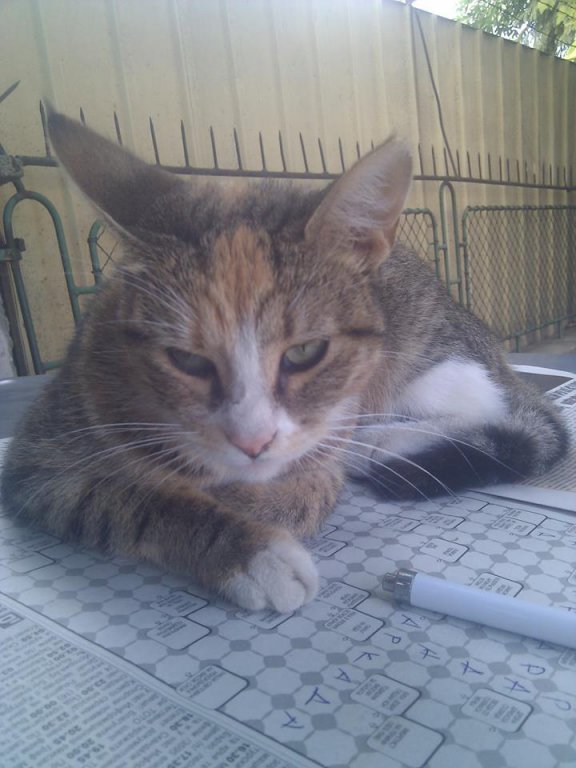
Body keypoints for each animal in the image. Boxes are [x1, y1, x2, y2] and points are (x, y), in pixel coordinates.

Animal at [0, 110, 568, 612]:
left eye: (304, 352)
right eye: (186, 359)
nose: (252, 442)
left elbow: (308, 488)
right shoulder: (42, 457)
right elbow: (126, 498)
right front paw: (247, 549)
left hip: (432, 362)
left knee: (511, 414)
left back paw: (382, 442)